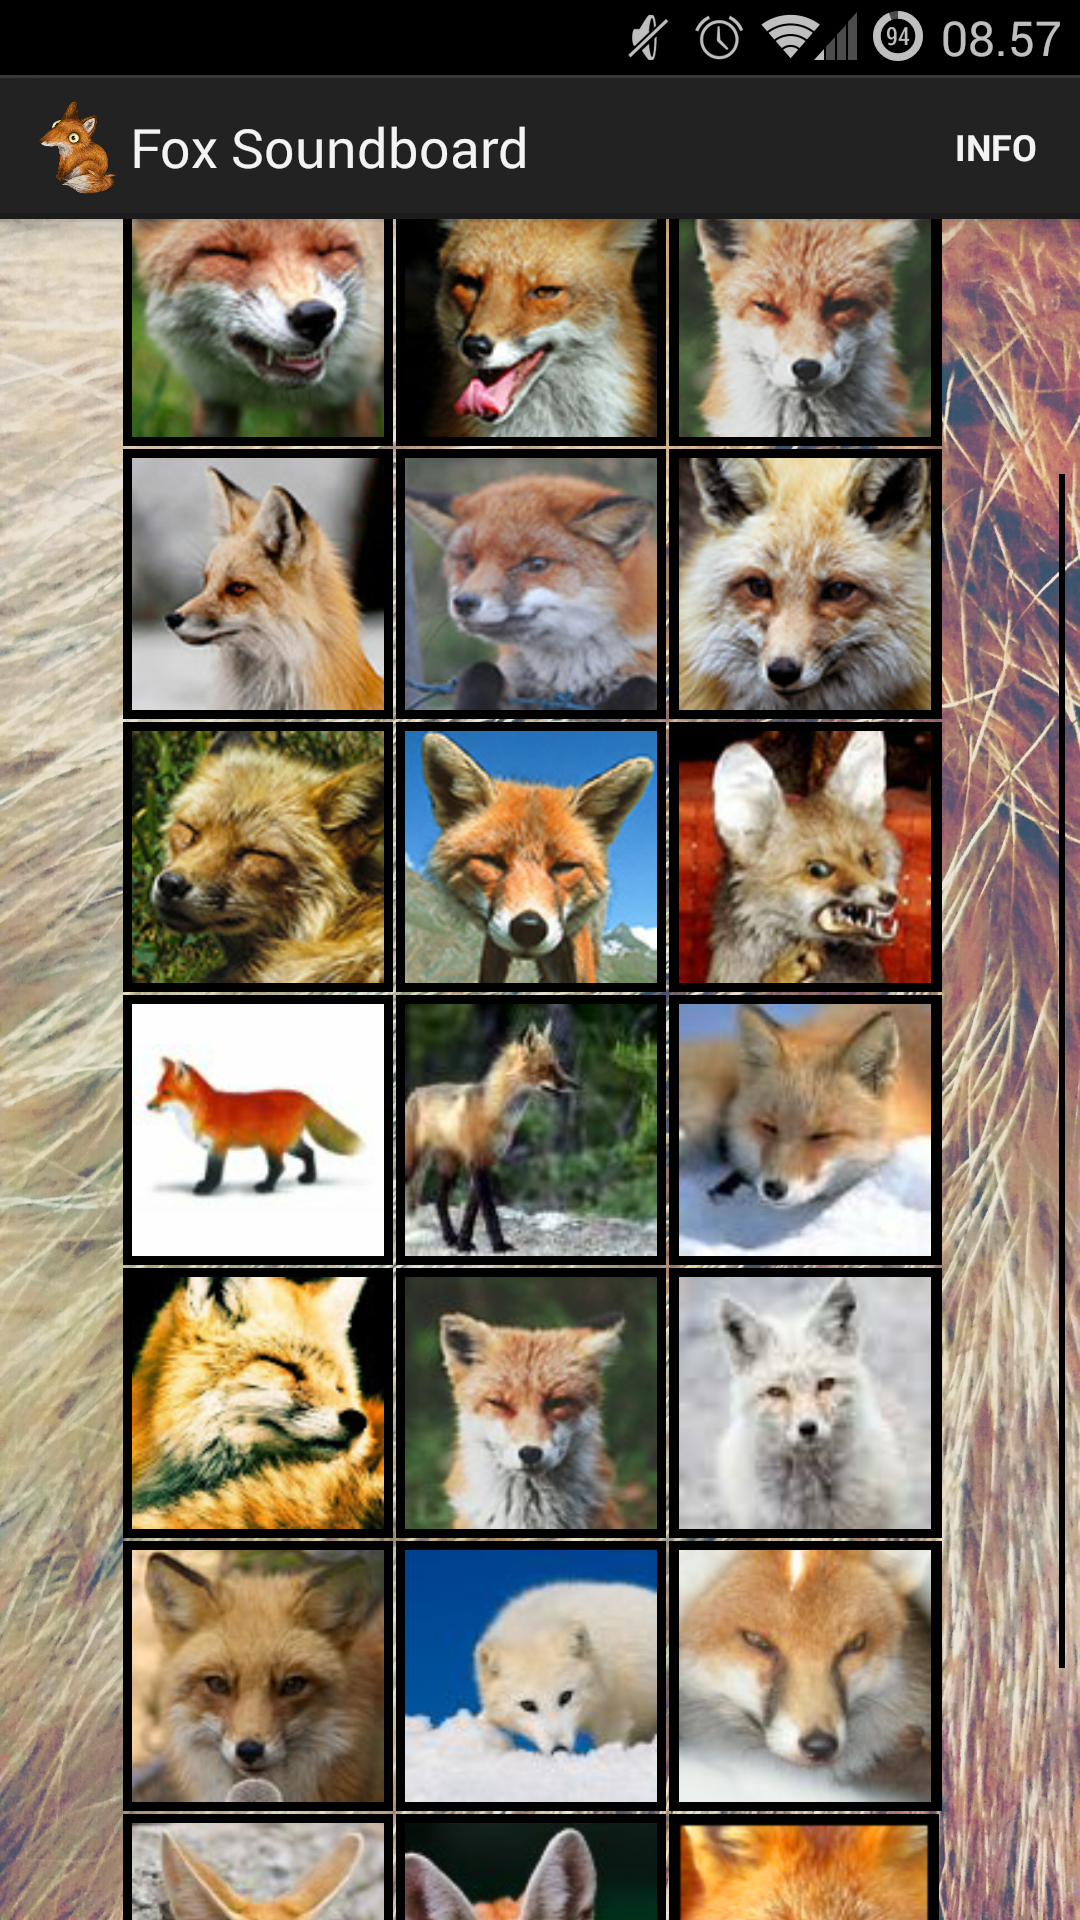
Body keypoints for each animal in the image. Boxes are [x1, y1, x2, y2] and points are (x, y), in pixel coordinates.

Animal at [147, 1057, 361, 1195]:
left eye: (166, 1093)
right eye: (157, 1091)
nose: (148, 1106)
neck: (200, 1110)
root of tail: (304, 1096)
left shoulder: (218, 1146)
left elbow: (213, 1172)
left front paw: (207, 1188)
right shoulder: (213, 1147)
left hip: (272, 1146)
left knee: (279, 1167)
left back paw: (266, 1187)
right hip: (289, 1144)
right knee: (310, 1153)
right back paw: (310, 1178)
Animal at [403, 1022, 576, 1254]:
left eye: (558, 1066)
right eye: (547, 1068)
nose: (576, 1085)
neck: (495, 1113)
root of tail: (413, 1093)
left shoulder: (487, 1161)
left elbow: (471, 1212)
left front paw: (463, 1244)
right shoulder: (478, 1162)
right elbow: (490, 1212)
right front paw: (499, 1245)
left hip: (450, 1169)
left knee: (440, 1203)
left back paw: (450, 1238)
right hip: (412, 1164)